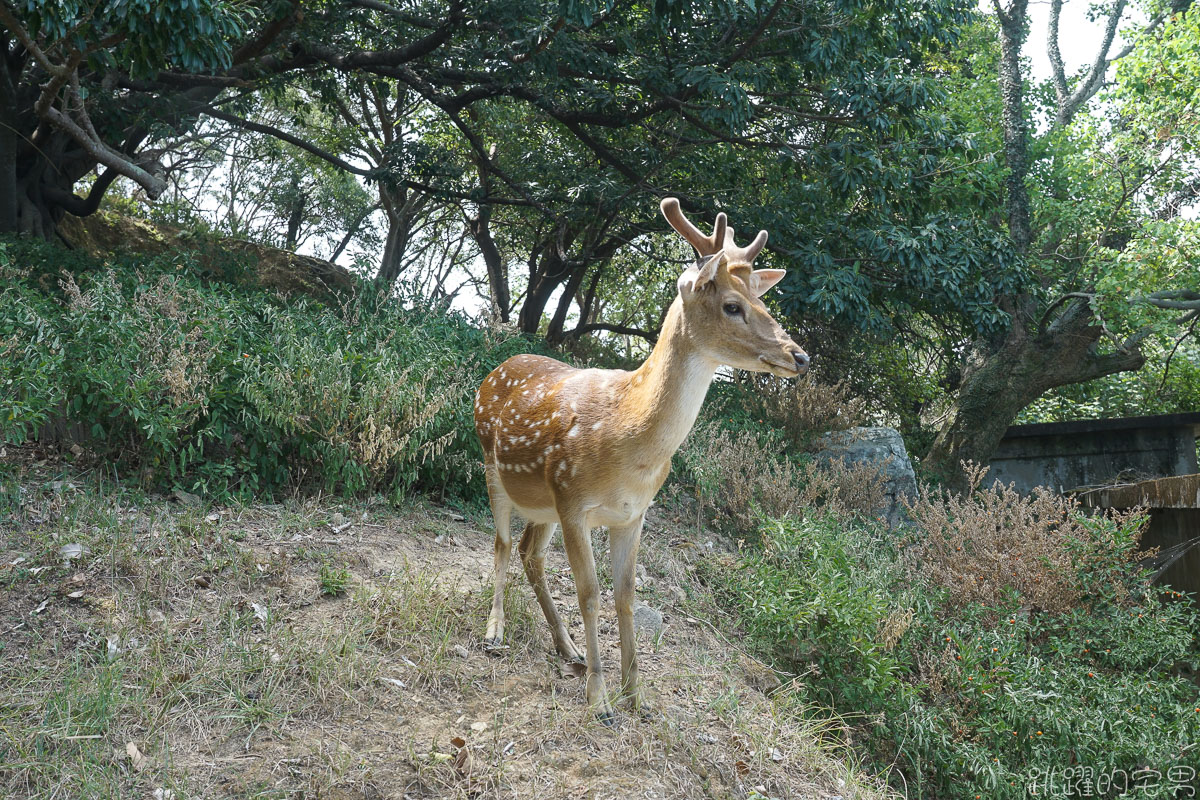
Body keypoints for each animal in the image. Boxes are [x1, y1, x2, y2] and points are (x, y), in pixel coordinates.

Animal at [472, 199, 811, 724]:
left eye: (764, 305)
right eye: (732, 306)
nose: (800, 356)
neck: (629, 442)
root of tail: (497, 369)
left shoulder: (632, 515)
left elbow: (627, 596)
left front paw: (637, 695)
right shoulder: (575, 503)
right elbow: (590, 595)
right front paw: (600, 699)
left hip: (543, 502)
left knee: (531, 554)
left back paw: (567, 647)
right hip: (493, 467)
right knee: (503, 545)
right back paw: (496, 632)